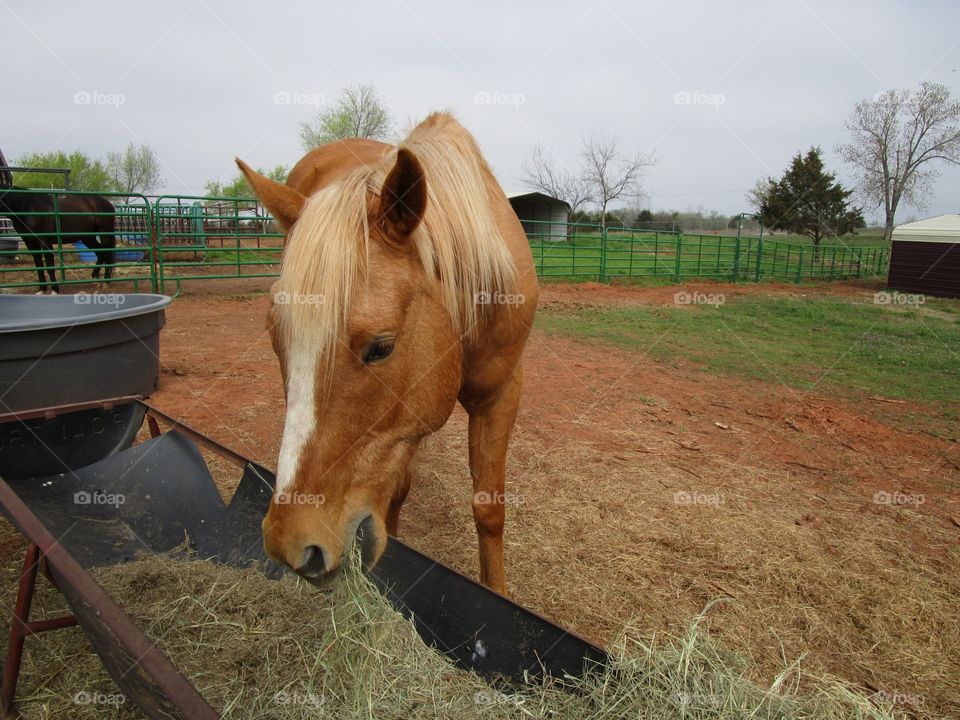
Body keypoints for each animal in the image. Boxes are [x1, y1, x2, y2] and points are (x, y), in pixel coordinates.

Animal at [238, 112, 540, 592]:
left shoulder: (500, 392)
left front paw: (497, 591)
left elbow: (489, 507)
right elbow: (396, 489)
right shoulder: (408, 420)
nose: (293, 544)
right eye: (274, 339)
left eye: (380, 348)